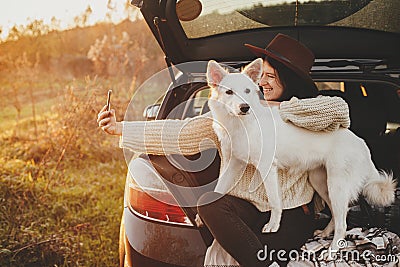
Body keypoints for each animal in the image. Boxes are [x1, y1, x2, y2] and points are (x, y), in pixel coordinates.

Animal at [206, 58, 396, 251]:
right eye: (229, 92)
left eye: (247, 91)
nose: (245, 107)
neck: (242, 124)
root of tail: (361, 143)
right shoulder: (233, 164)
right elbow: (218, 189)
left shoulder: (268, 168)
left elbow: (274, 202)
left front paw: (273, 226)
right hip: (322, 183)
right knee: (336, 216)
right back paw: (325, 234)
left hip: (337, 187)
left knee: (343, 223)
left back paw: (332, 250)